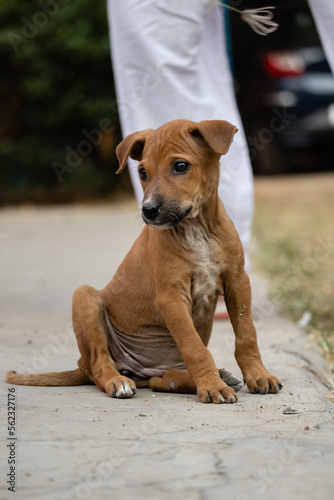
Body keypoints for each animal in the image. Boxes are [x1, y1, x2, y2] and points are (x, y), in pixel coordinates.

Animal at [6, 119, 280, 404]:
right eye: (142, 172)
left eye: (180, 166)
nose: (148, 210)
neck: (197, 229)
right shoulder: (171, 296)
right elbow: (195, 347)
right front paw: (211, 385)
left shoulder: (238, 281)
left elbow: (247, 334)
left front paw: (258, 375)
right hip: (85, 298)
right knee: (100, 364)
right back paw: (119, 382)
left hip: (155, 365)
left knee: (162, 379)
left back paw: (208, 376)